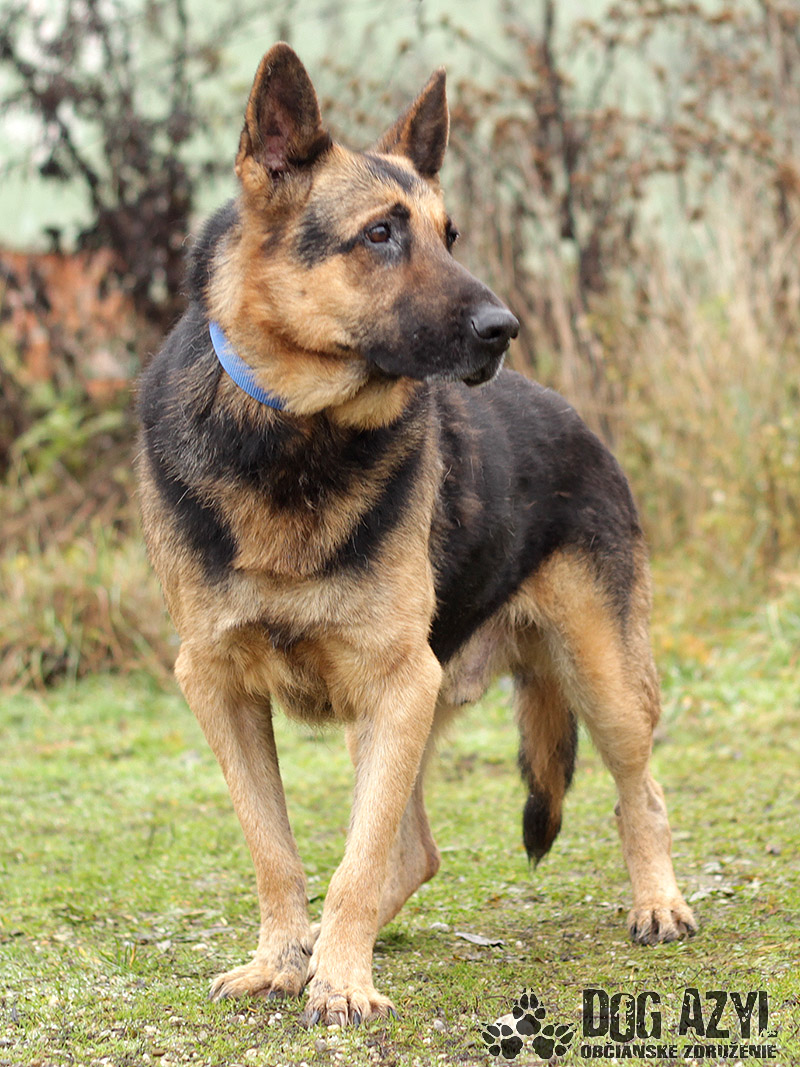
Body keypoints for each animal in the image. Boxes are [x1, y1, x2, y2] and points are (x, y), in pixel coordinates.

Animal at [137, 43, 696, 1027]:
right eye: (379, 235)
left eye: (450, 234)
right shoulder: (218, 685)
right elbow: (276, 849)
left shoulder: (395, 684)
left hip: (599, 679)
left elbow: (354, 861)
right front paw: (285, 959)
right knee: (414, 847)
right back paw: (324, 944)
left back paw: (656, 900)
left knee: (641, 791)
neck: (295, 437)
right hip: (413, 710)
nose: (503, 329)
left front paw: (341, 981)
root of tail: (575, 416)